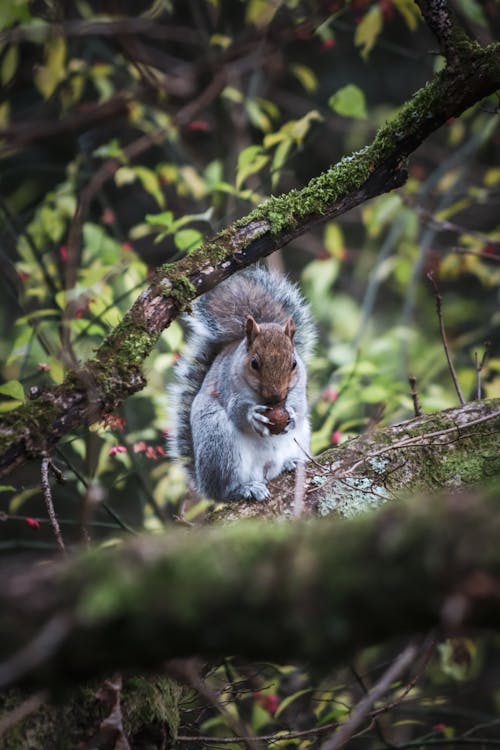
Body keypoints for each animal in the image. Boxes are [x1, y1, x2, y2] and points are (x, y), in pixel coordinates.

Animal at [168, 266, 316, 506]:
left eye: (294, 363)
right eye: (254, 363)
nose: (277, 397)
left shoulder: (300, 387)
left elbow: (301, 406)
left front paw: (292, 414)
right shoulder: (228, 386)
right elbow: (237, 411)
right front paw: (253, 416)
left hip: (299, 438)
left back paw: (292, 463)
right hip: (220, 446)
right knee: (226, 489)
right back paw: (244, 488)